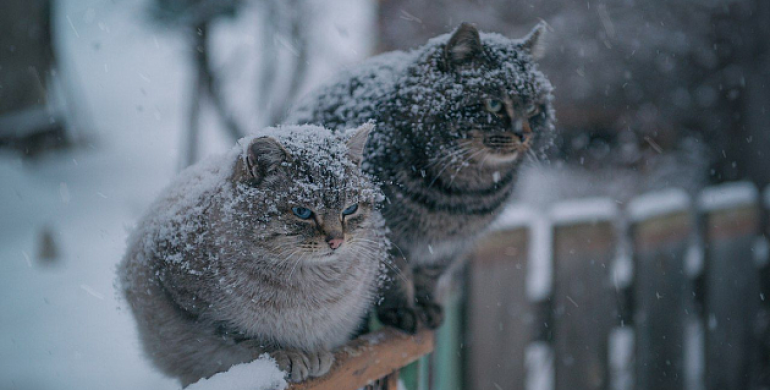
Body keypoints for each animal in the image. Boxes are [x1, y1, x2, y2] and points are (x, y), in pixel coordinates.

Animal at [118, 123, 388, 386]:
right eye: (302, 212)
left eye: (350, 209)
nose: (336, 241)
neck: (309, 282)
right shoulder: (196, 307)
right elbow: (249, 338)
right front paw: (290, 354)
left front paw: (316, 353)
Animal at [288, 22, 552, 332]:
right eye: (495, 105)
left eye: (533, 108)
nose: (524, 135)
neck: (464, 192)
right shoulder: (389, 234)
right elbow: (395, 275)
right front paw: (401, 310)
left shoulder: (450, 245)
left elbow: (430, 275)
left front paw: (426, 307)